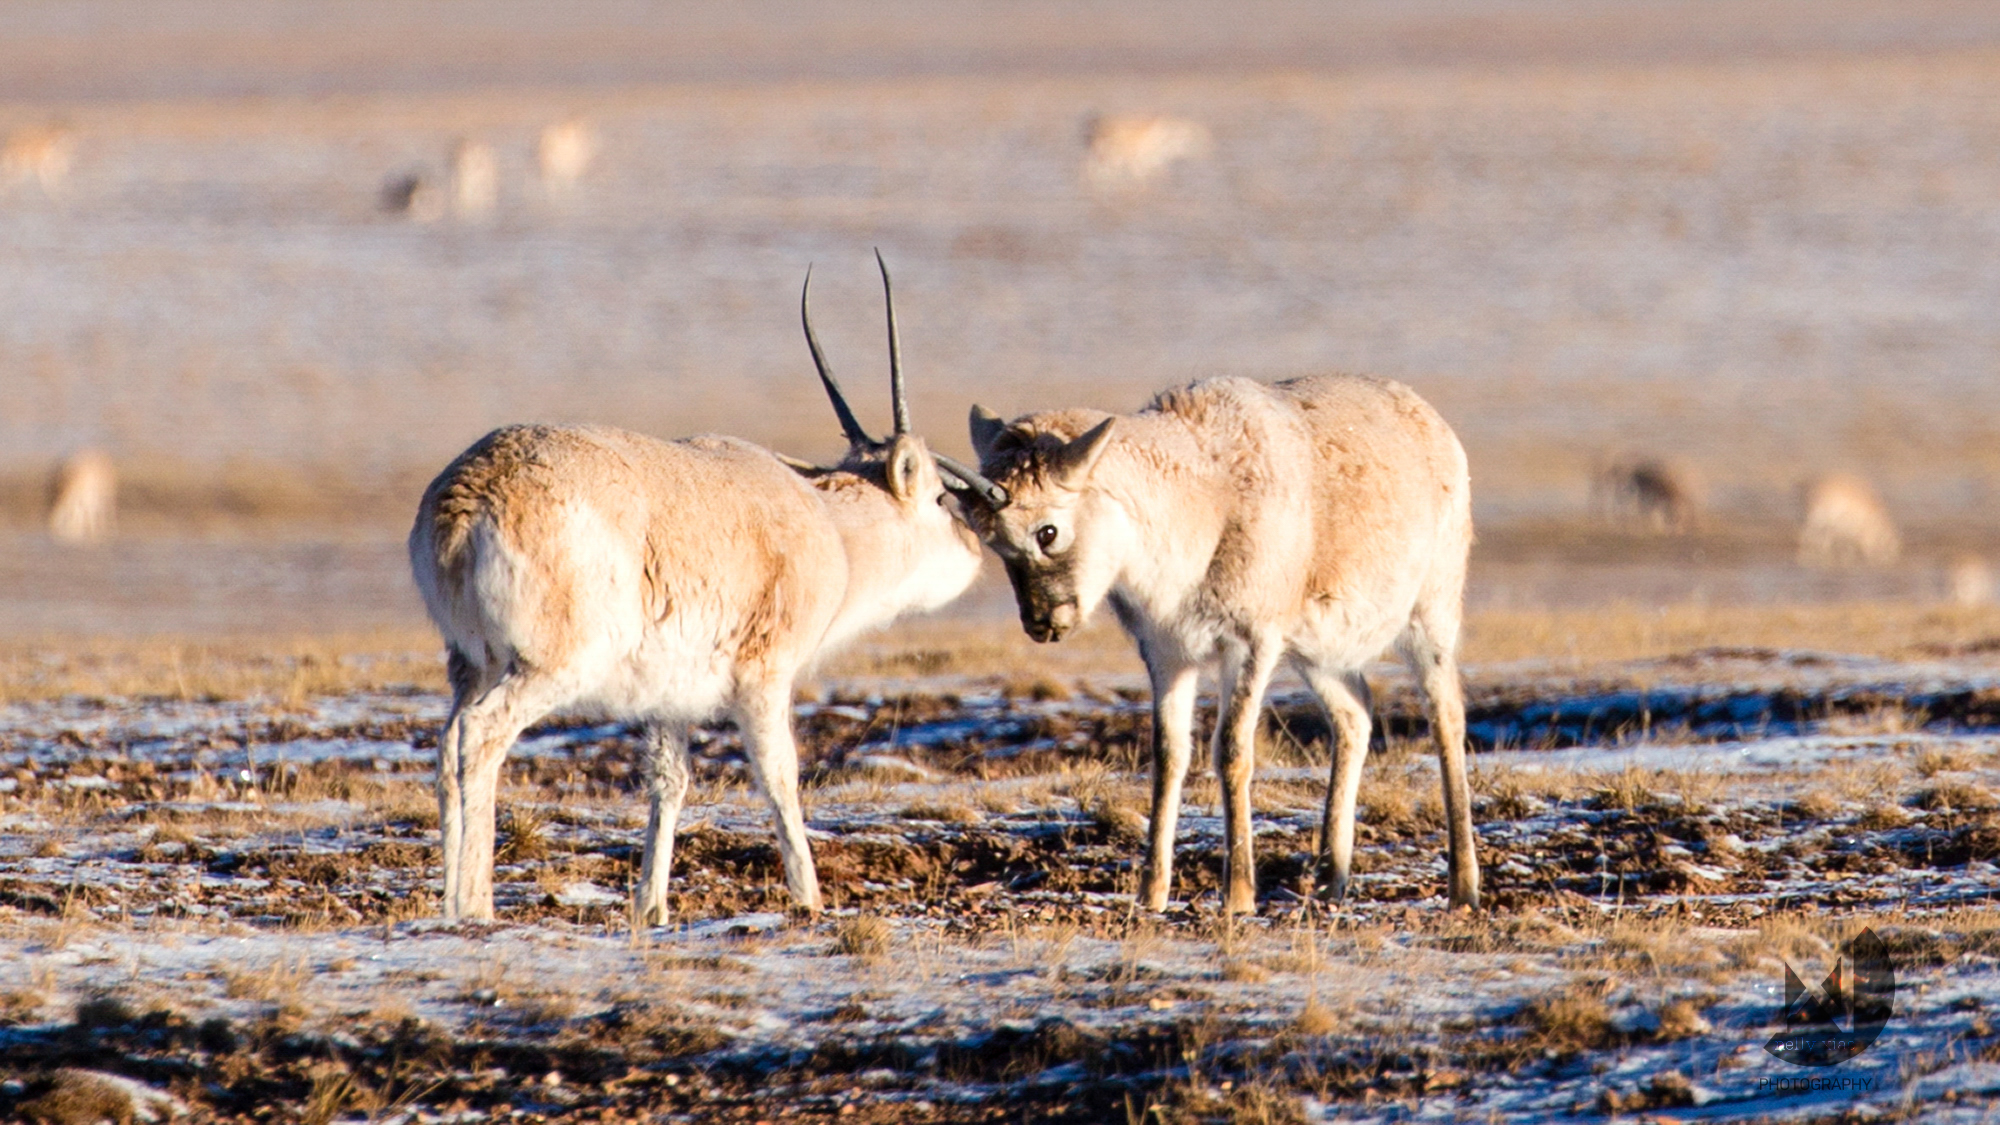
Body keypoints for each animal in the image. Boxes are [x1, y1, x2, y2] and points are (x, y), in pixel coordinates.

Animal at [410, 256, 1000, 920]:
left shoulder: (668, 699)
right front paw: (810, 898)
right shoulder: (764, 678)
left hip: (471, 664)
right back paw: (474, 905)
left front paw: (651, 908)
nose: (977, 547)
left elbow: (670, 781)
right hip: (549, 667)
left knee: (446, 747)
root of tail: (467, 496)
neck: (829, 524)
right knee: (480, 736)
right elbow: (779, 776)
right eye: (940, 496)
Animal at [960, 376, 1480, 912]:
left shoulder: (1251, 647)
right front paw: (1151, 894)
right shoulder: (1167, 655)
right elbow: (1169, 754)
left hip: (1428, 623)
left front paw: (1239, 894)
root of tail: (1426, 417)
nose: (1043, 623)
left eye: (1047, 531)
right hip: (1317, 658)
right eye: (993, 542)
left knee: (1446, 719)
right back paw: (1330, 879)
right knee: (1355, 714)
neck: (1206, 498)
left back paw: (1463, 887)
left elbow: (1231, 751)